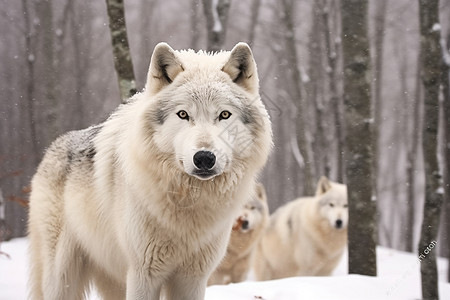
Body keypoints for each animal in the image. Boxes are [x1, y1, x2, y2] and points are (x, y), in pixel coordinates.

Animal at [29, 42, 274, 300]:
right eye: (183, 114)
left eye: (224, 114)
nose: (204, 158)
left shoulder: (193, 279)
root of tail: (52, 147)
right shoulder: (144, 274)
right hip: (62, 277)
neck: (188, 204)